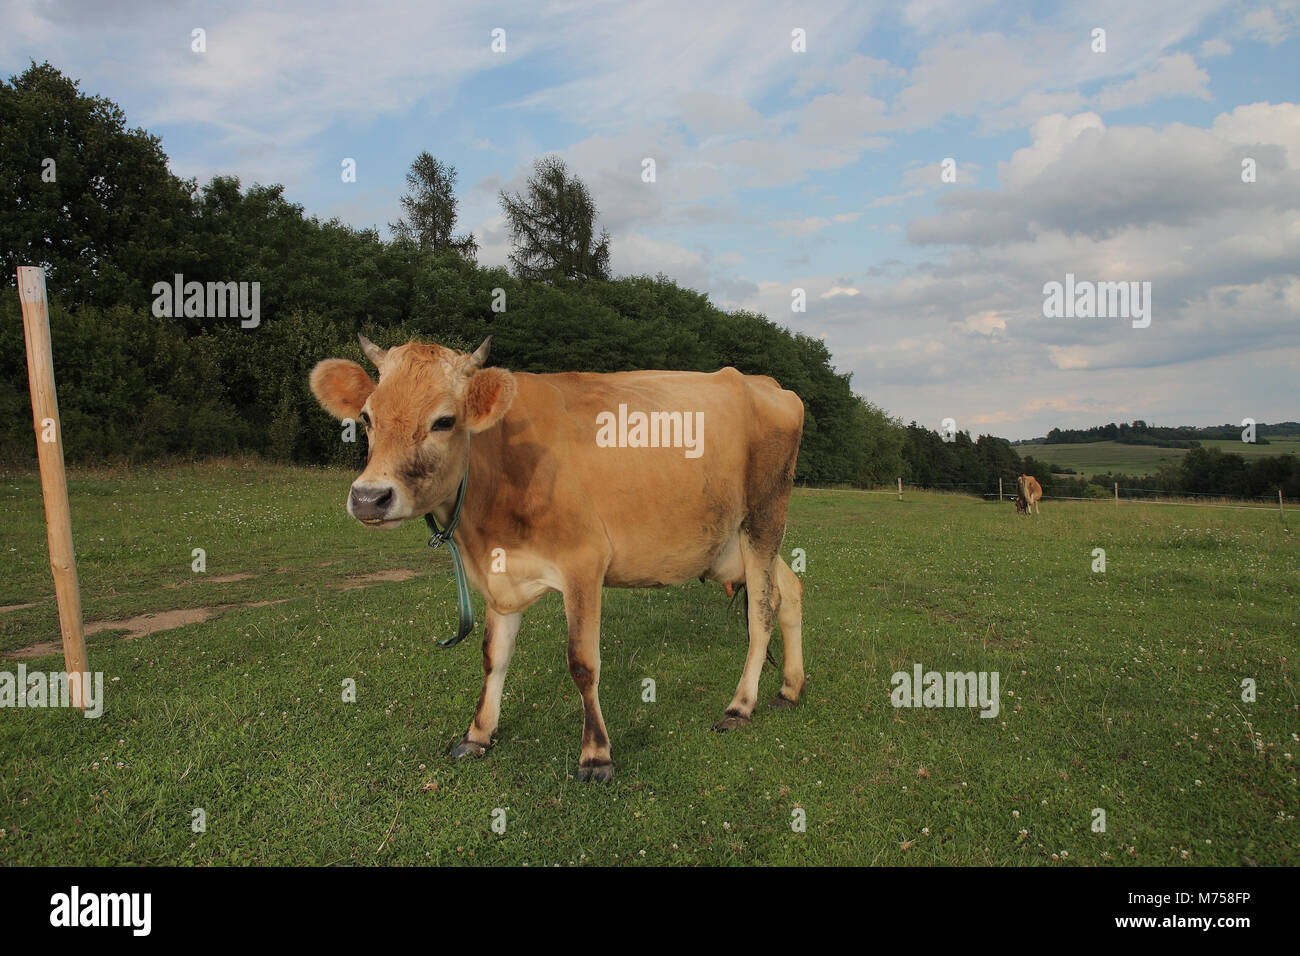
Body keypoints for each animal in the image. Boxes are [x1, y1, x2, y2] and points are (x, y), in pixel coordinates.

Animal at [309, 335, 806, 782]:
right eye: (367, 417)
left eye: (444, 421)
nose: (369, 497)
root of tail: (765, 383)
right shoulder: (499, 572)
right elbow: (493, 655)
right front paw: (478, 733)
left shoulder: (584, 562)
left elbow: (583, 664)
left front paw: (596, 755)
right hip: (732, 543)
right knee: (791, 590)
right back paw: (790, 687)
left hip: (764, 518)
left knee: (762, 610)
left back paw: (740, 706)